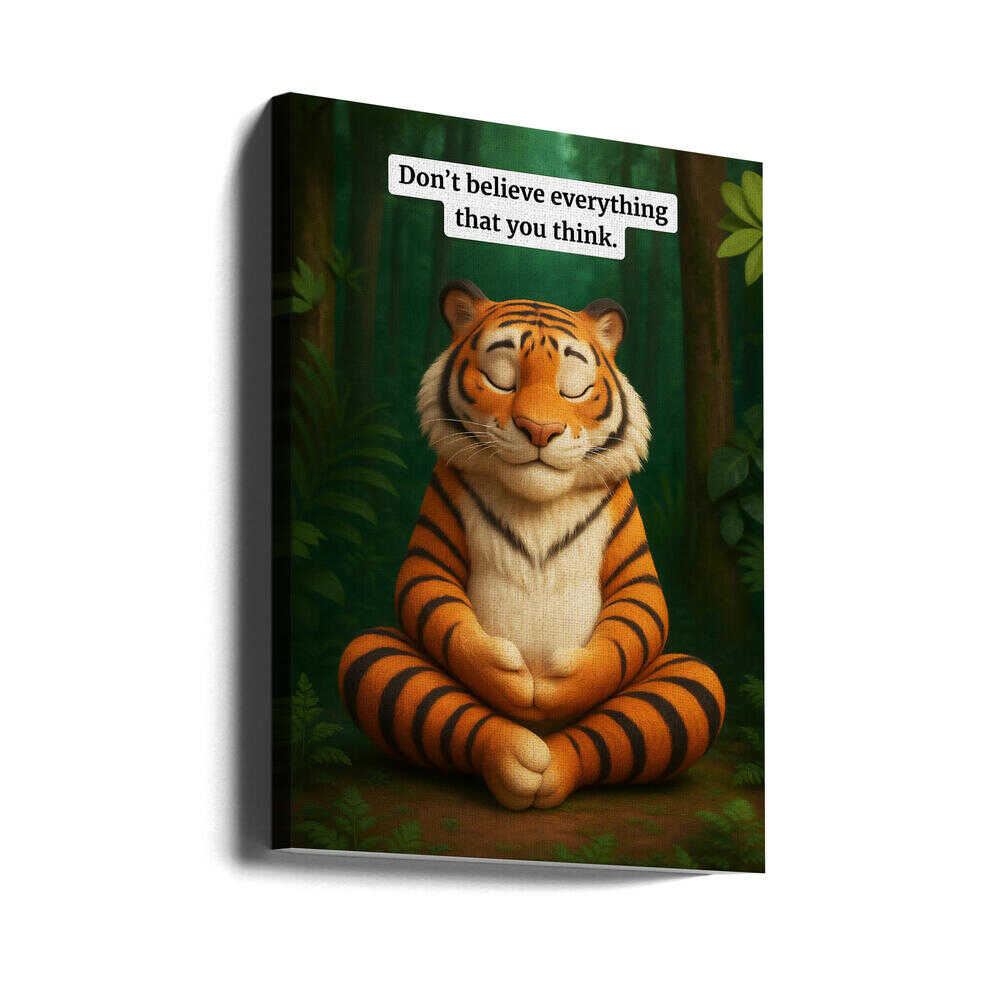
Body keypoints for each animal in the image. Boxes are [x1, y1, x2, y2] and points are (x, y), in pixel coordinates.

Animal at [338, 279, 725, 810]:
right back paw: (515, 756)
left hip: (690, 682)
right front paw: (512, 680)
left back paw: (552, 768)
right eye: (502, 377)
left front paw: (558, 681)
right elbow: (430, 598)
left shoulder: (631, 547)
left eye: (573, 384)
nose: (541, 430)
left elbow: (641, 615)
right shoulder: (435, 528)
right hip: (374, 657)